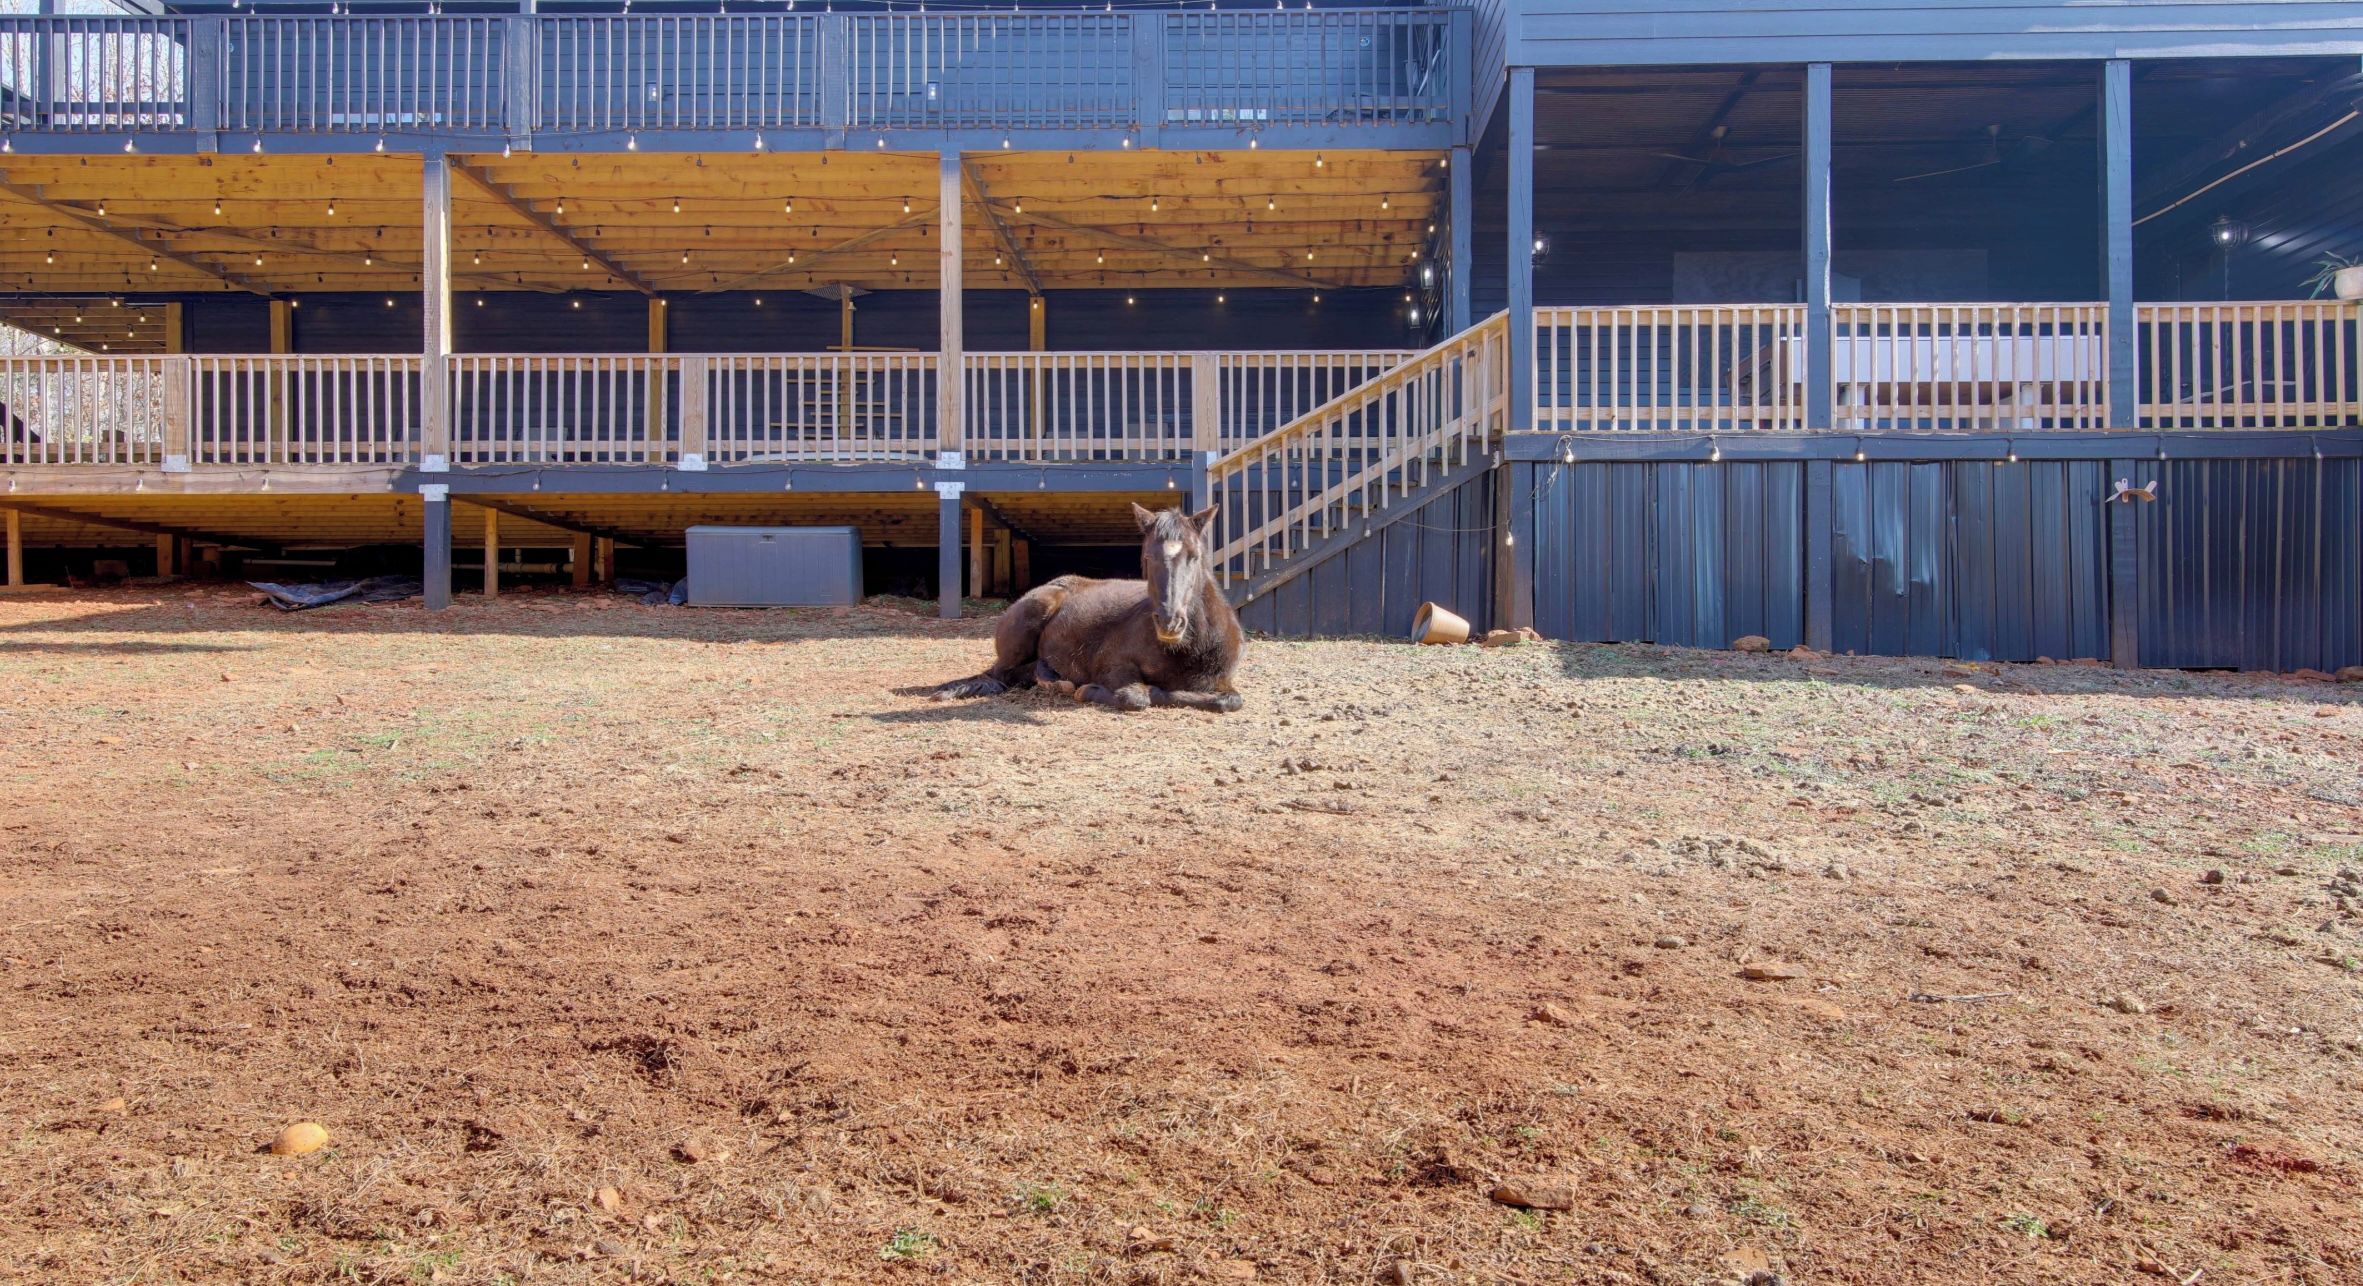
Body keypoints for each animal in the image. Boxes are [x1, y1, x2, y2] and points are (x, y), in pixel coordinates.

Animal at [933, 503, 1245, 713]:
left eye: (1194, 556)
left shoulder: (1223, 682)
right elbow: (1135, 697)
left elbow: (1229, 701)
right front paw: (1089, 690)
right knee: (1001, 675)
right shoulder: (1113, 665)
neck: (1185, 648)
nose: (1169, 622)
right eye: (1147, 557)